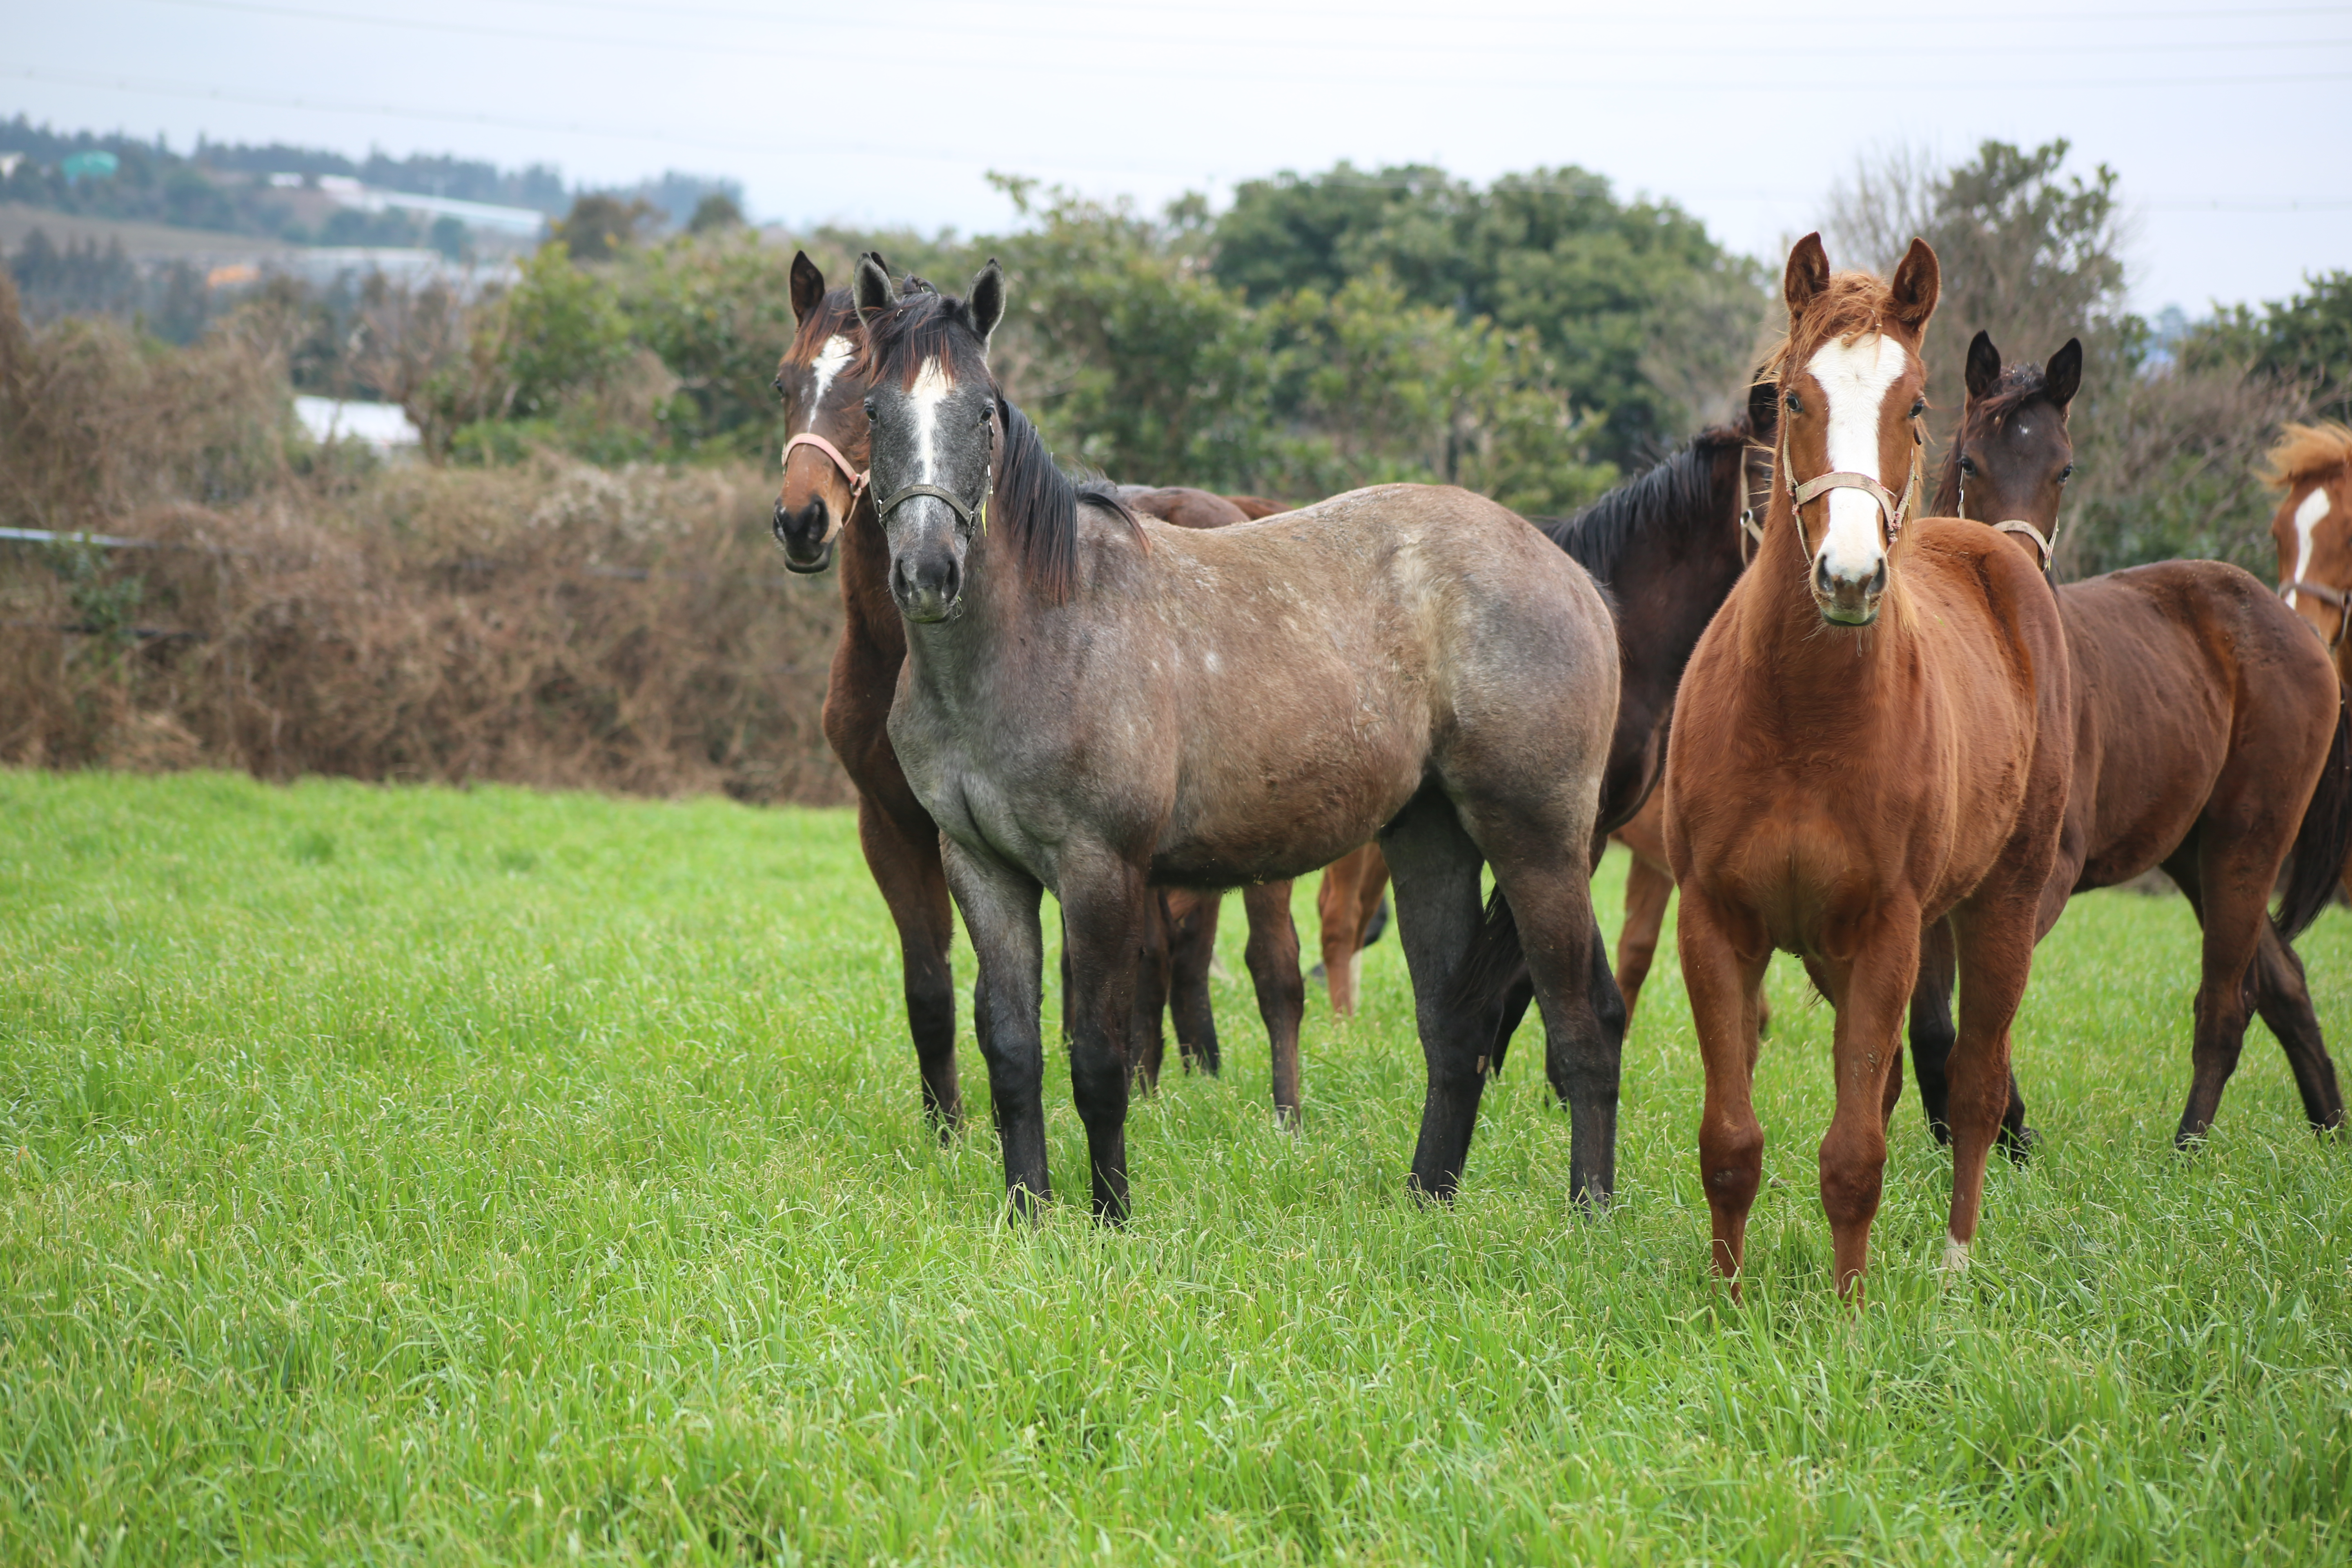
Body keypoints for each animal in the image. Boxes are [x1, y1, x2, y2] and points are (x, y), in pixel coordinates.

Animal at [856, 257, 1627, 1222]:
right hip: (1432, 839)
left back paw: (1589, 1214)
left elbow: (1100, 1056)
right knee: (1455, 1029)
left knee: (1580, 1020)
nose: (927, 573)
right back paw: (1427, 1202)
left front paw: (1109, 1218)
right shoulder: (981, 869)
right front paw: (1028, 1213)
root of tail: (1573, 576)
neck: (1037, 634)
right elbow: (1012, 1051)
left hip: (1538, 841)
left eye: (984, 411)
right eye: (874, 410)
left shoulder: (1100, 870)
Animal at [1665, 236, 2069, 1297]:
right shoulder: (1716, 924)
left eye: (1915, 406)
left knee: (1974, 1086)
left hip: (2001, 906)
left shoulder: (1887, 930)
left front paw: (1849, 1316)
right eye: (1793, 399)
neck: (1800, 719)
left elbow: (1854, 1153)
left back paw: (1954, 1267)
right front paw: (1723, 1306)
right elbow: (1731, 1140)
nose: (1849, 577)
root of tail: (1994, 552)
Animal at [1910, 331, 2352, 1147]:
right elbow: (1931, 1026)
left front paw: (2010, 1136)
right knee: (2284, 984)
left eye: (2063, 468)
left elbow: (1982, 1022)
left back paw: (2188, 1150)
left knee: (2228, 1001)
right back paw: (2330, 1134)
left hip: (2246, 842)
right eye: (1970, 463)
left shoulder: (2040, 879)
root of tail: (2301, 632)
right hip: (2194, 850)